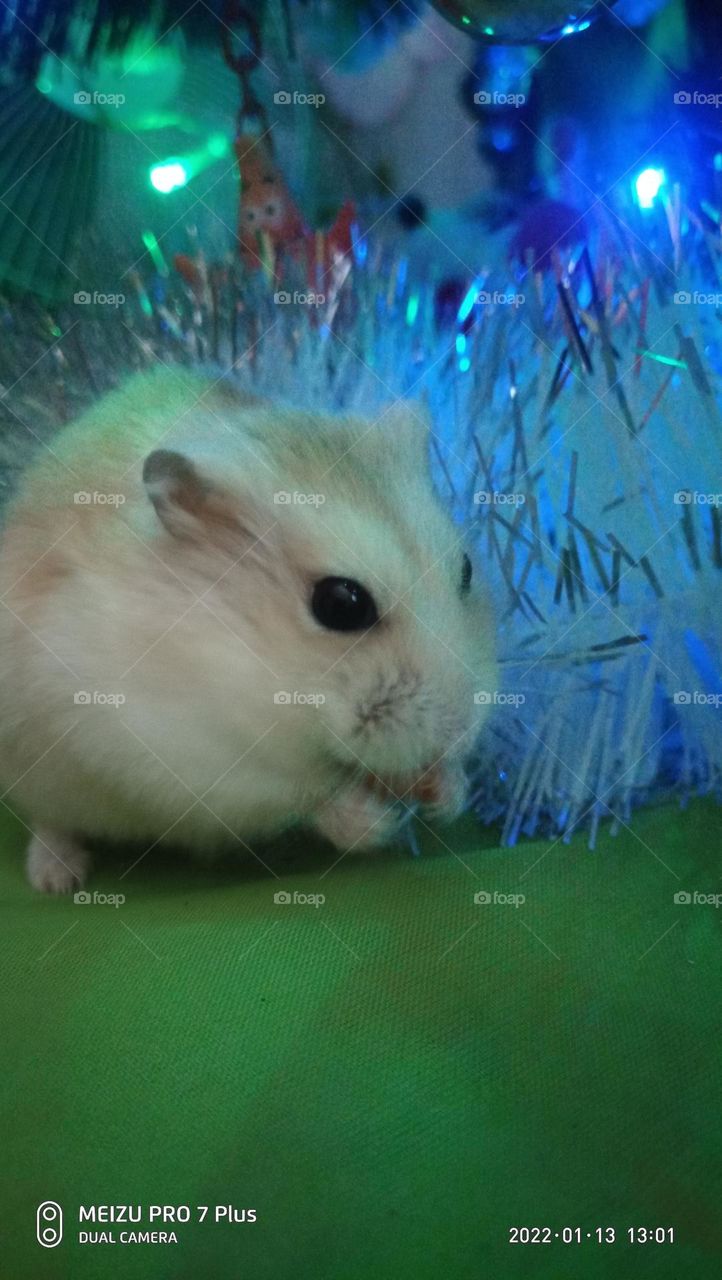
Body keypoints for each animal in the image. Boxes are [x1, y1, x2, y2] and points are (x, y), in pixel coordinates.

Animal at [0, 367, 497, 892]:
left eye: (466, 570)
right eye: (341, 604)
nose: (461, 734)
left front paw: (447, 793)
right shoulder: (177, 755)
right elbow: (304, 795)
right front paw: (375, 823)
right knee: (51, 822)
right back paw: (57, 879)